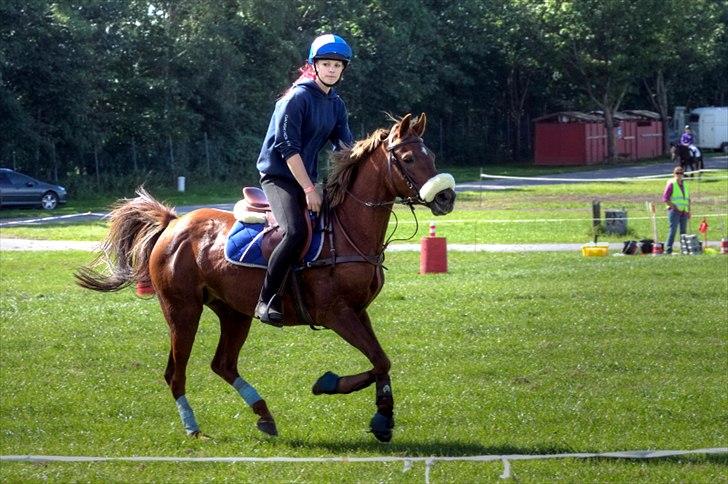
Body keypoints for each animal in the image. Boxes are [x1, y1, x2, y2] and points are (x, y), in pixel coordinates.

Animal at [77, 113, 458, 442]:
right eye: (408, 158)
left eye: (432, 154)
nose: (446, 197)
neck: (347, 230)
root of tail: (173, 222)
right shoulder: (336, 314)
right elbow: (379, 360)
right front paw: (330, 385)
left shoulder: (358, 311)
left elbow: (381, 360)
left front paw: (382, 416)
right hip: (182, 311)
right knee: (176, 372)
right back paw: (193, 427)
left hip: (233, 312)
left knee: (223, 364)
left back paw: (264, 414)